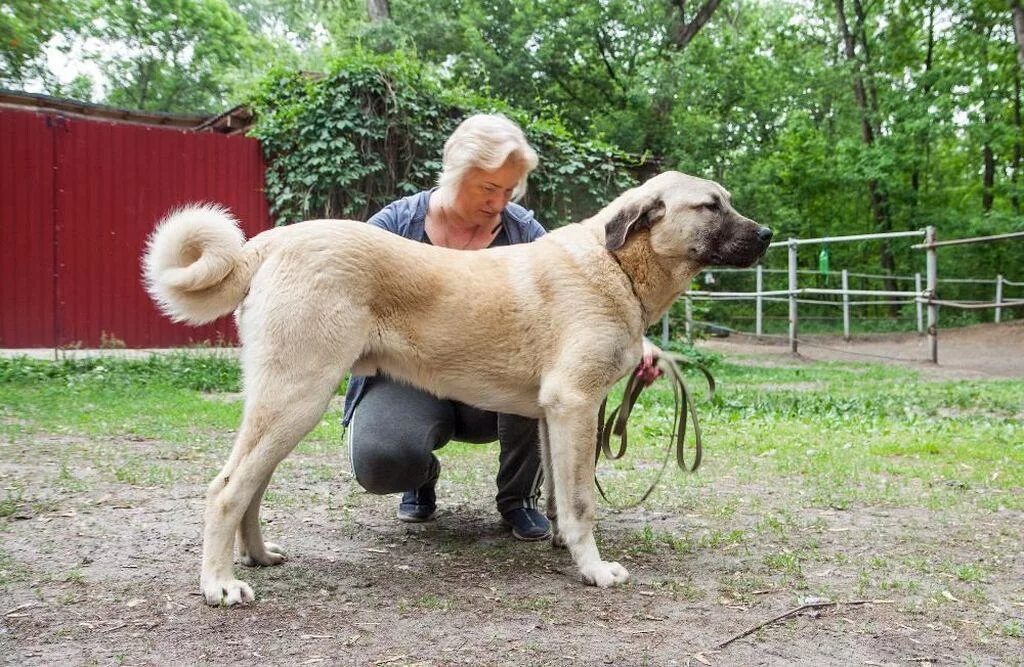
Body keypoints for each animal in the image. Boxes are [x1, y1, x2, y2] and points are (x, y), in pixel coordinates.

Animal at [142, 171, 770, 606]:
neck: (616, 265)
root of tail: (271, 242)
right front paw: (594, 570)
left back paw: (255, 555)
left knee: (251, 484)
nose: (767, 234)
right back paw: (219, 584)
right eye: (710, 205)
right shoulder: (576, 405)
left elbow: (557, 494)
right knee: (227, 488)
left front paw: (561, 545)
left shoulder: (553, 416)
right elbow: (582, 501)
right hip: (297, 399)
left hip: (283, 406)